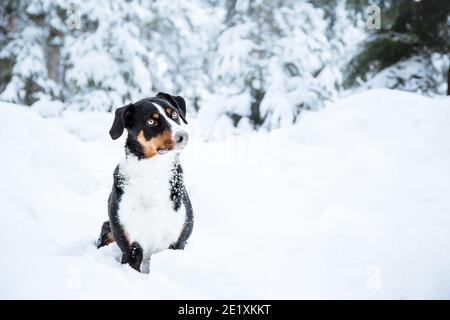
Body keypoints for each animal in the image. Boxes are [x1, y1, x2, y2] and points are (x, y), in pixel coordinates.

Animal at [95, 92, 193, 272]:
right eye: (150, 122)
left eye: (174, 114)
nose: (183, 136)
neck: (152, 173)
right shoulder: (131, 248)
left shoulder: (177, 243)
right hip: (107, 229)